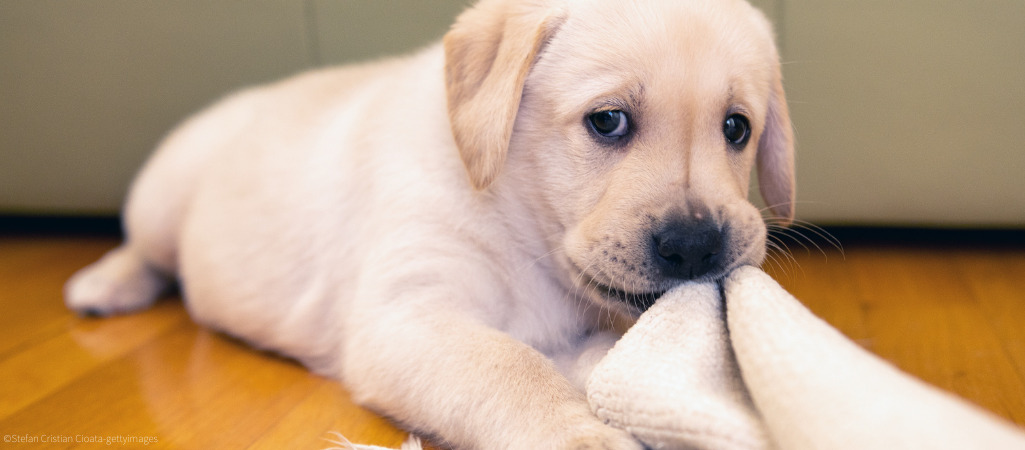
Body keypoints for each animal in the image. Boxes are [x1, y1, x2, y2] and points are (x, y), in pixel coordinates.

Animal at [68, 0, 795, 446]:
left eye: (737, 129)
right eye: (607, 120)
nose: (697, 246)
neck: (516, 222)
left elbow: (587, 357)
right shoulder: (406, 317)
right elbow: (507, 366)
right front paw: (581, 435)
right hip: (163, 197)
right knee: (146, 250)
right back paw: (107, 284)